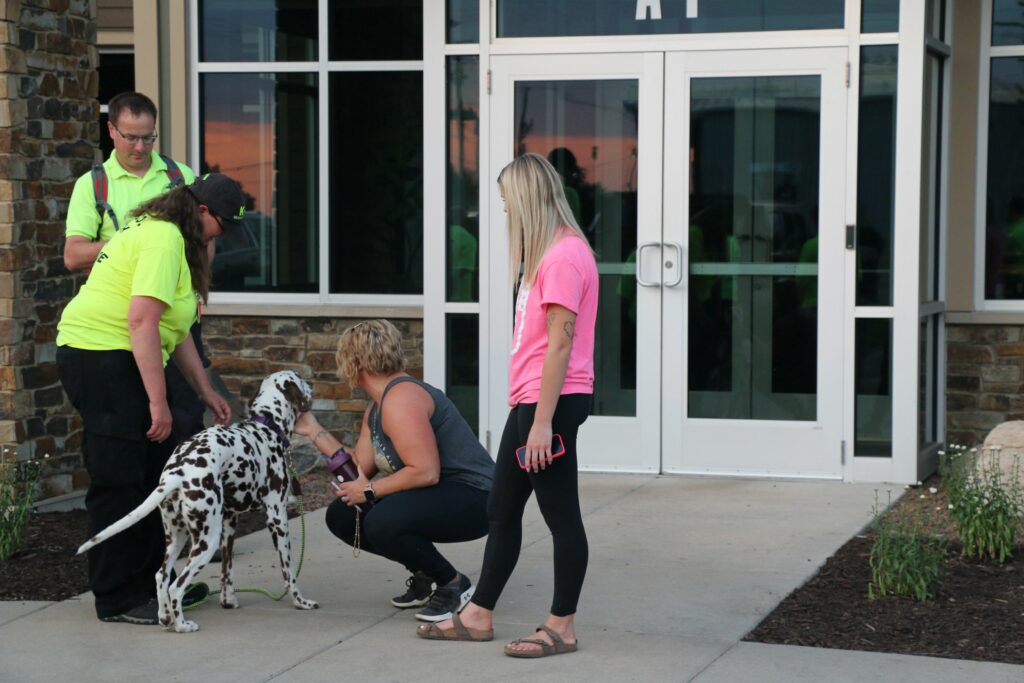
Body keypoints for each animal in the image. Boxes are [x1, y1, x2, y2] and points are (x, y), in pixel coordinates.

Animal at [76, 370, 317, 634]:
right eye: (300, 377)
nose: (313, 384)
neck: (266, 426)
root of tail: (177, 473)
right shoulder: (277, 518)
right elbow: (289, 570)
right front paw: (301, 602)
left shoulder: (229, 524)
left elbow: (226, 572)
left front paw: (228, 601)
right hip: (205, 542)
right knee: (175, 587)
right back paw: (182, 625)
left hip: (178, 537)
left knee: (161, 577)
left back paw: (165, 618)